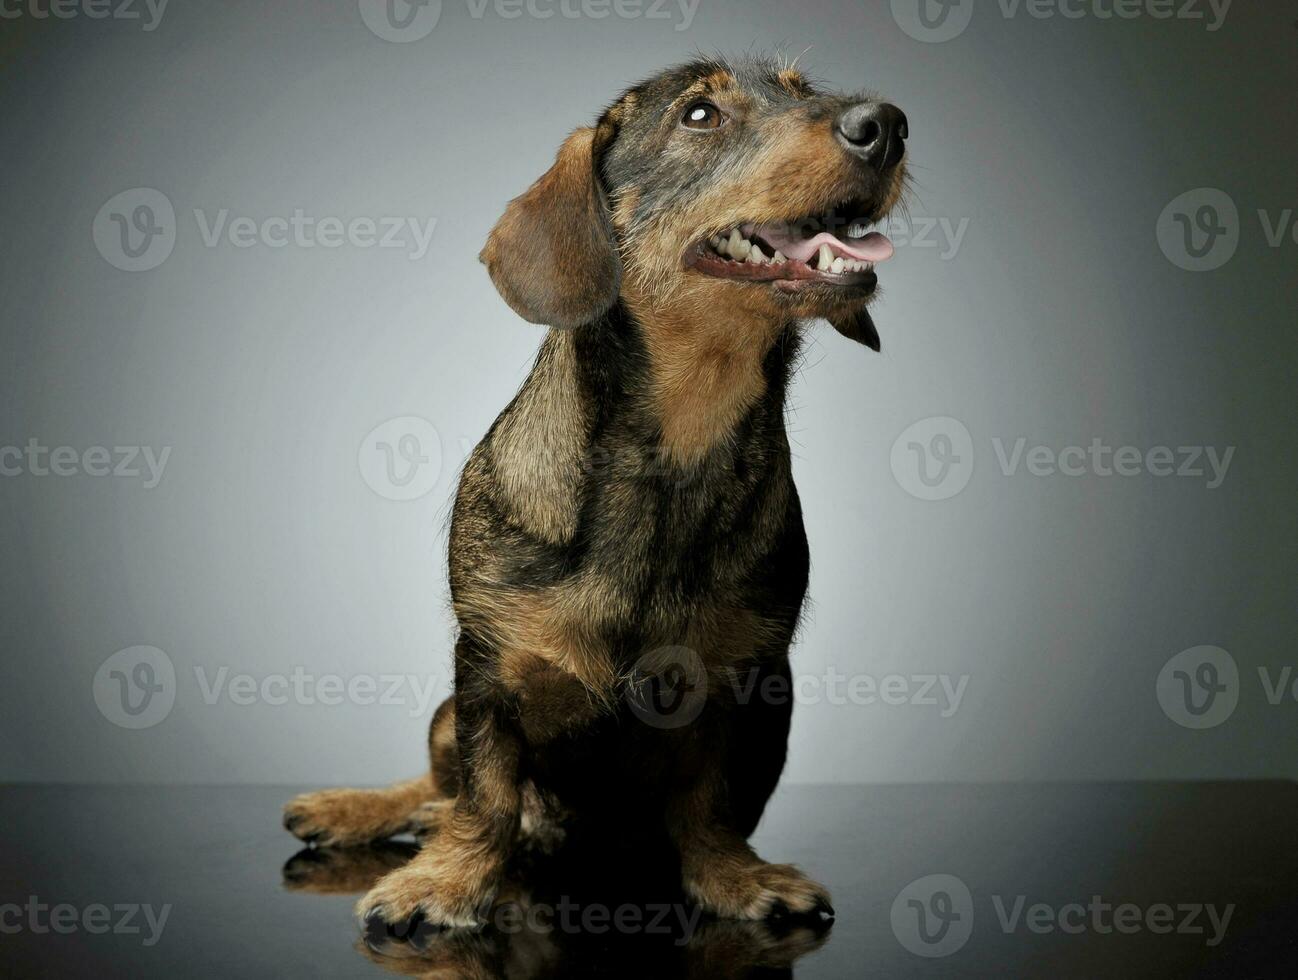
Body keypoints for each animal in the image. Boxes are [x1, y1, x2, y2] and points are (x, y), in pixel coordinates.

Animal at [284, 51, 908, 934]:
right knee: (439, 784)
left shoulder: (750, 678)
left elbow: (712, 800)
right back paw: (358, 809)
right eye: (699, 115)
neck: (678, 442)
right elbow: (485, 793)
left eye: (803, 90)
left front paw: (734, 876)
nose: (884, 124)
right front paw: (446, 881)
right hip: (444, 714)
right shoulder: (486, 670)